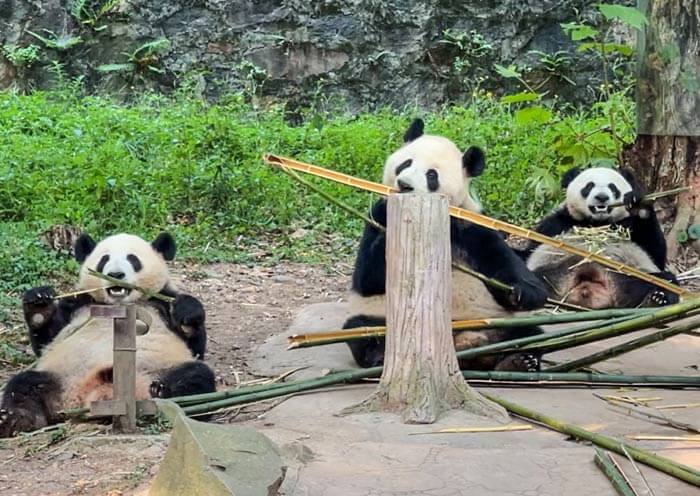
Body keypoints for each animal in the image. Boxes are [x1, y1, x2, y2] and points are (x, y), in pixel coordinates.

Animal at [0, 232, 216, 437]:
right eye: (104, 260)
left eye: (133, 259)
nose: (116, 274)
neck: (118, 305)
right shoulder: (79, 303)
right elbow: (48, 339)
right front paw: (39, 305)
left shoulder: (161, 302)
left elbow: (194, 346)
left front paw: (187, 314)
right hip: (60, 378)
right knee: (23, 385)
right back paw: (17, 420)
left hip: (159, 369)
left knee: (195, 377)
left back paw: (163, 393)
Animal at [344, 119, 549, 371]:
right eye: (406, 163)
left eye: (431, 175)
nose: (404, 185)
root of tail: (461, 343)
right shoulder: (377, 216)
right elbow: (367, 280)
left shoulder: (472, 226)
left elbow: (508, 266)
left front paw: (523, 292)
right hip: (383, 317)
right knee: (362, 329)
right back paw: (381, 357)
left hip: (492, 321)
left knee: (531, 334)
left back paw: (518, 361)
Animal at [522, 166, 680, 309]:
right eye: (589, 186)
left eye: (613, 187)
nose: (602, 198)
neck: (597, 223)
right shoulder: (556, 224)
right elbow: (529, 251)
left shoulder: (630, 226)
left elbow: (655, 255)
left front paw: (638, 205)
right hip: (552, 273)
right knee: (533, 279)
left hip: (631, 276)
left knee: (665, 280)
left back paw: (658, 298)